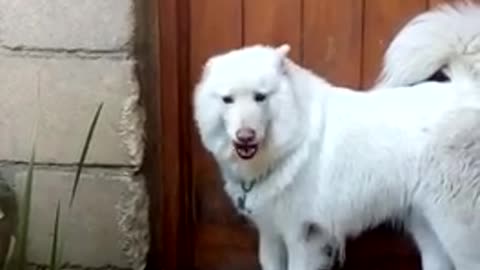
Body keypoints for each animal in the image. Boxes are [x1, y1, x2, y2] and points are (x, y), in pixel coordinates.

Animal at [193, 2, 480, 270]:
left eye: (260, 97)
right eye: (228, 100)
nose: (245, 136)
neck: (292, 143)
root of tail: (467, 89)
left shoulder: (303, 236)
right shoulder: (270, 234)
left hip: (457, 229)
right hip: (429, 227)